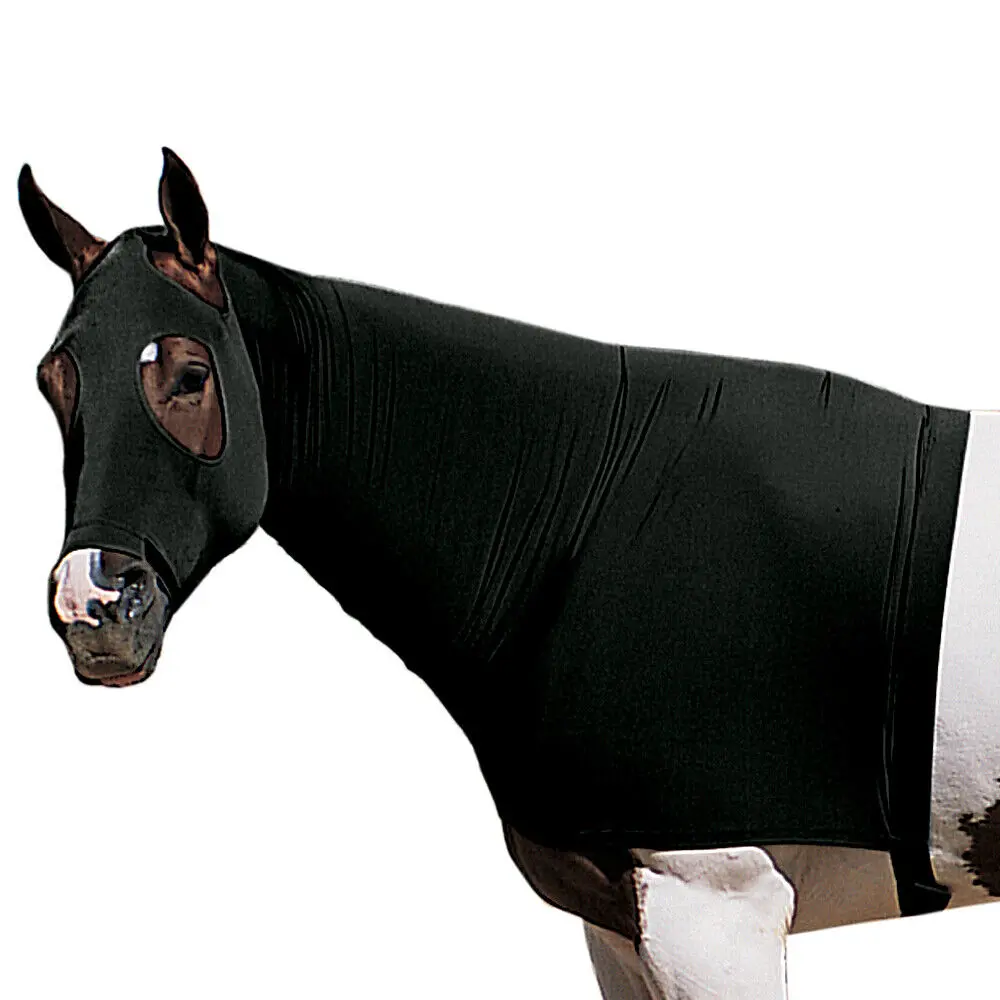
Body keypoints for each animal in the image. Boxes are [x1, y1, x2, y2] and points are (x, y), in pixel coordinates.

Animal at [22, 148, 1000, 999]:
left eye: (188, 375)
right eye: (51, 380)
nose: (95, 603)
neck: (586, 517)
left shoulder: (716, 910)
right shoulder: (622, 925)